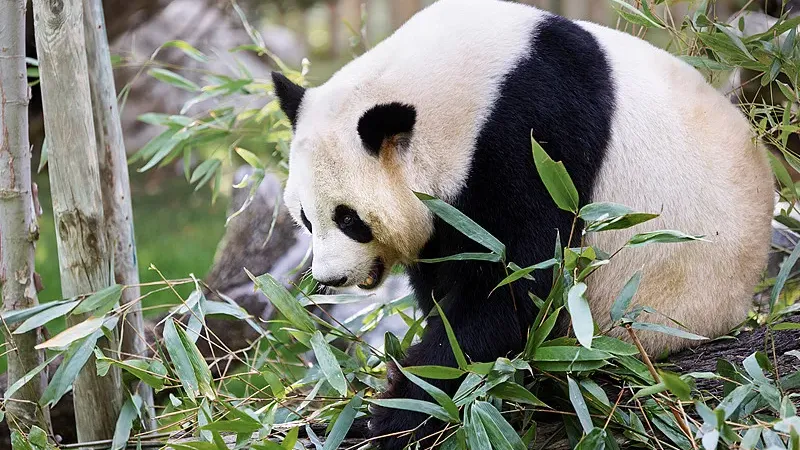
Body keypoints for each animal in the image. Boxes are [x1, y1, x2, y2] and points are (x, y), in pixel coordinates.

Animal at [270, 0, 774, 447]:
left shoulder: (532, 134)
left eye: (349, 218)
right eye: (306, 218)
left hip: (661, 307)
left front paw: (396, 412)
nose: (331, 277)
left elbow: (512, 289)